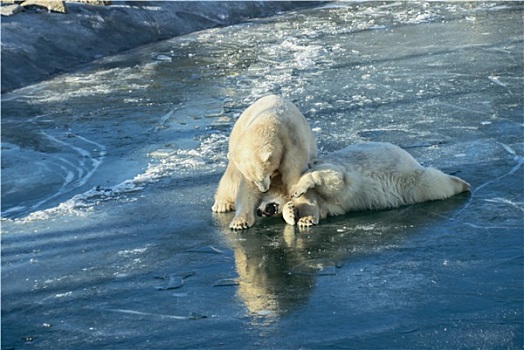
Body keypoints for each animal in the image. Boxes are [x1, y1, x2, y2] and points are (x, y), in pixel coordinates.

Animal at [212, 94, 316, 230]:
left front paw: (305, 216)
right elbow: (246, 188)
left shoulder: (292, 144)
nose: (264, 190)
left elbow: (294, 177)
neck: (268, 122)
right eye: (255, 180)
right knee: (232, 176)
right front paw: (239, 223)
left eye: (263, 177)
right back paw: (222, 204)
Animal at [258, 142, 470, 227]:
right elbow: (321, 208)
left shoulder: (329, 169)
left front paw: (298, 191)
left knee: (432, 183)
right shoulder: (328, 204)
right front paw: (296, 215)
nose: (259, 212)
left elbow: (335, 179)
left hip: (406, 174)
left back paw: (462, 183)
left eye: (262, 195)